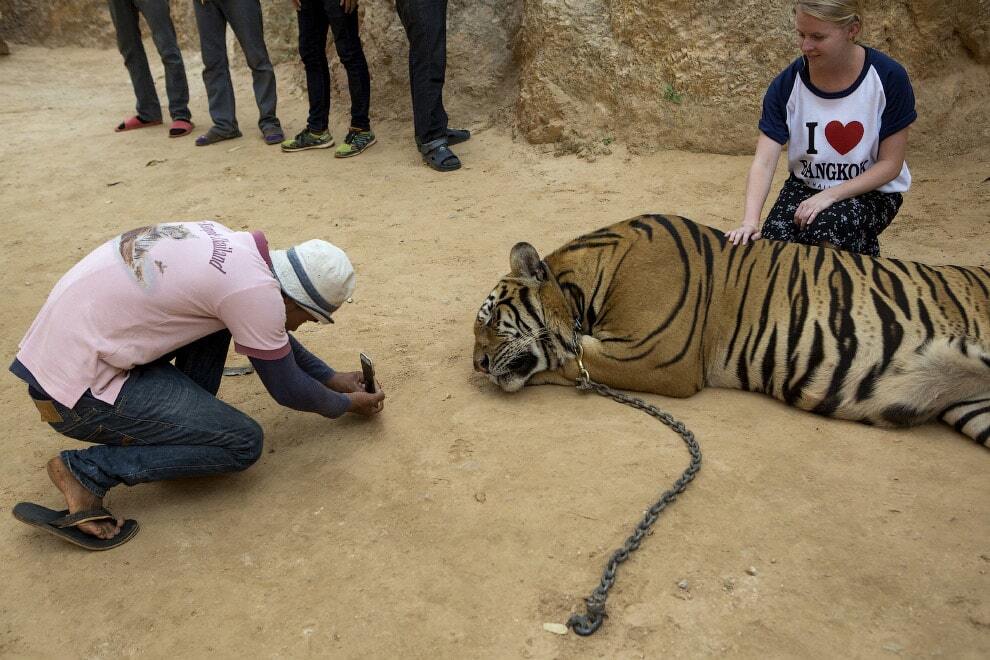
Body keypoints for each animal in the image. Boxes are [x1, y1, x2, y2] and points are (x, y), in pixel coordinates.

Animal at [472, 214, 990, 446]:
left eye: (493, 320)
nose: (476, 365)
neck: (584, 288)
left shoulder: (658, 358)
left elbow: (565, 359)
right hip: (976, 408)